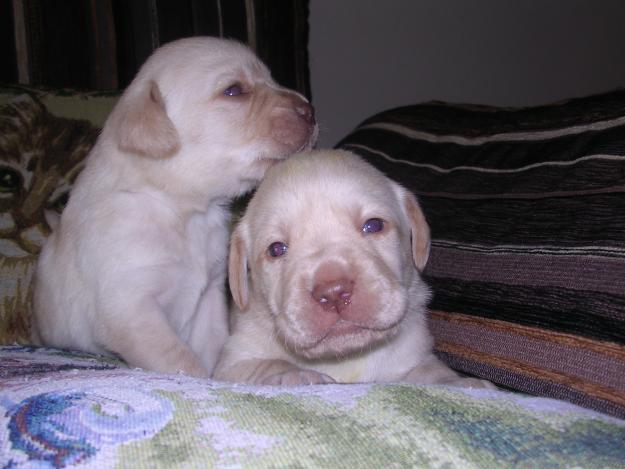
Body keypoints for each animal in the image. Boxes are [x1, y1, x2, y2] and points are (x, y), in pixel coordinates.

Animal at [31, 36, 316, 376]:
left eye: (271, 79)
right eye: (234, 90)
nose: (311, 110)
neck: (182, 210)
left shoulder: (208, 297)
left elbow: (212, 347)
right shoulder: (131, 307)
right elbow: (182, 361)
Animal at [213, 151, 492, 388]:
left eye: (374, 225)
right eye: (276, 249)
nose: (333, 292)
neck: (345, 358)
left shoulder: (414, 355)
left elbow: (430, 370)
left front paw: (459, 382)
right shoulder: (232, 364)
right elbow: (268, 364)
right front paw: (296, 374)